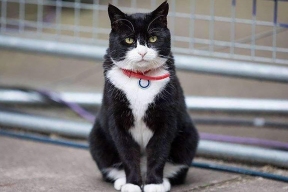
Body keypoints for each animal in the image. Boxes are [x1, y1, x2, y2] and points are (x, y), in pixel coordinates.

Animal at [89, 1, 199, 192]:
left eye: (153, 38)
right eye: (129, 40)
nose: (142, 52)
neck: (141, 79)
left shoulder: (166, 118)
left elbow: (158, 151)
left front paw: (154, 184)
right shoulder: (116, 119)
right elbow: (127, 153)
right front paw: (132, 184)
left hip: (189, 137)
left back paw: (162, 181)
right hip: (96, 138)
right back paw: (122, 180)